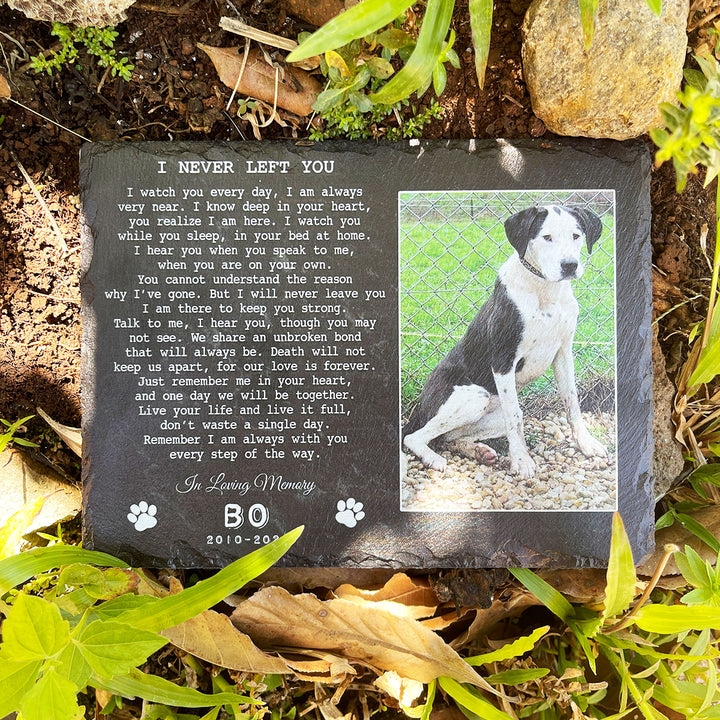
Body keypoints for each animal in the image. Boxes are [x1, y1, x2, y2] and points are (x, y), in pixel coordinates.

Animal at [402, 205, 612, 480]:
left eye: (576, 236)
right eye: (546, 237)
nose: (569, 265)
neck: (544, 289)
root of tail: (420, 407)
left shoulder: (564, 353)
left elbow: (572, 402)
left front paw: (586, 443)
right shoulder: (503, 360)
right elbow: (515, 417)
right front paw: (521, 460)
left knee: (448, 438)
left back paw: (477, 451)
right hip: (475, 397)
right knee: (415, 437)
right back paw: (434, 458)